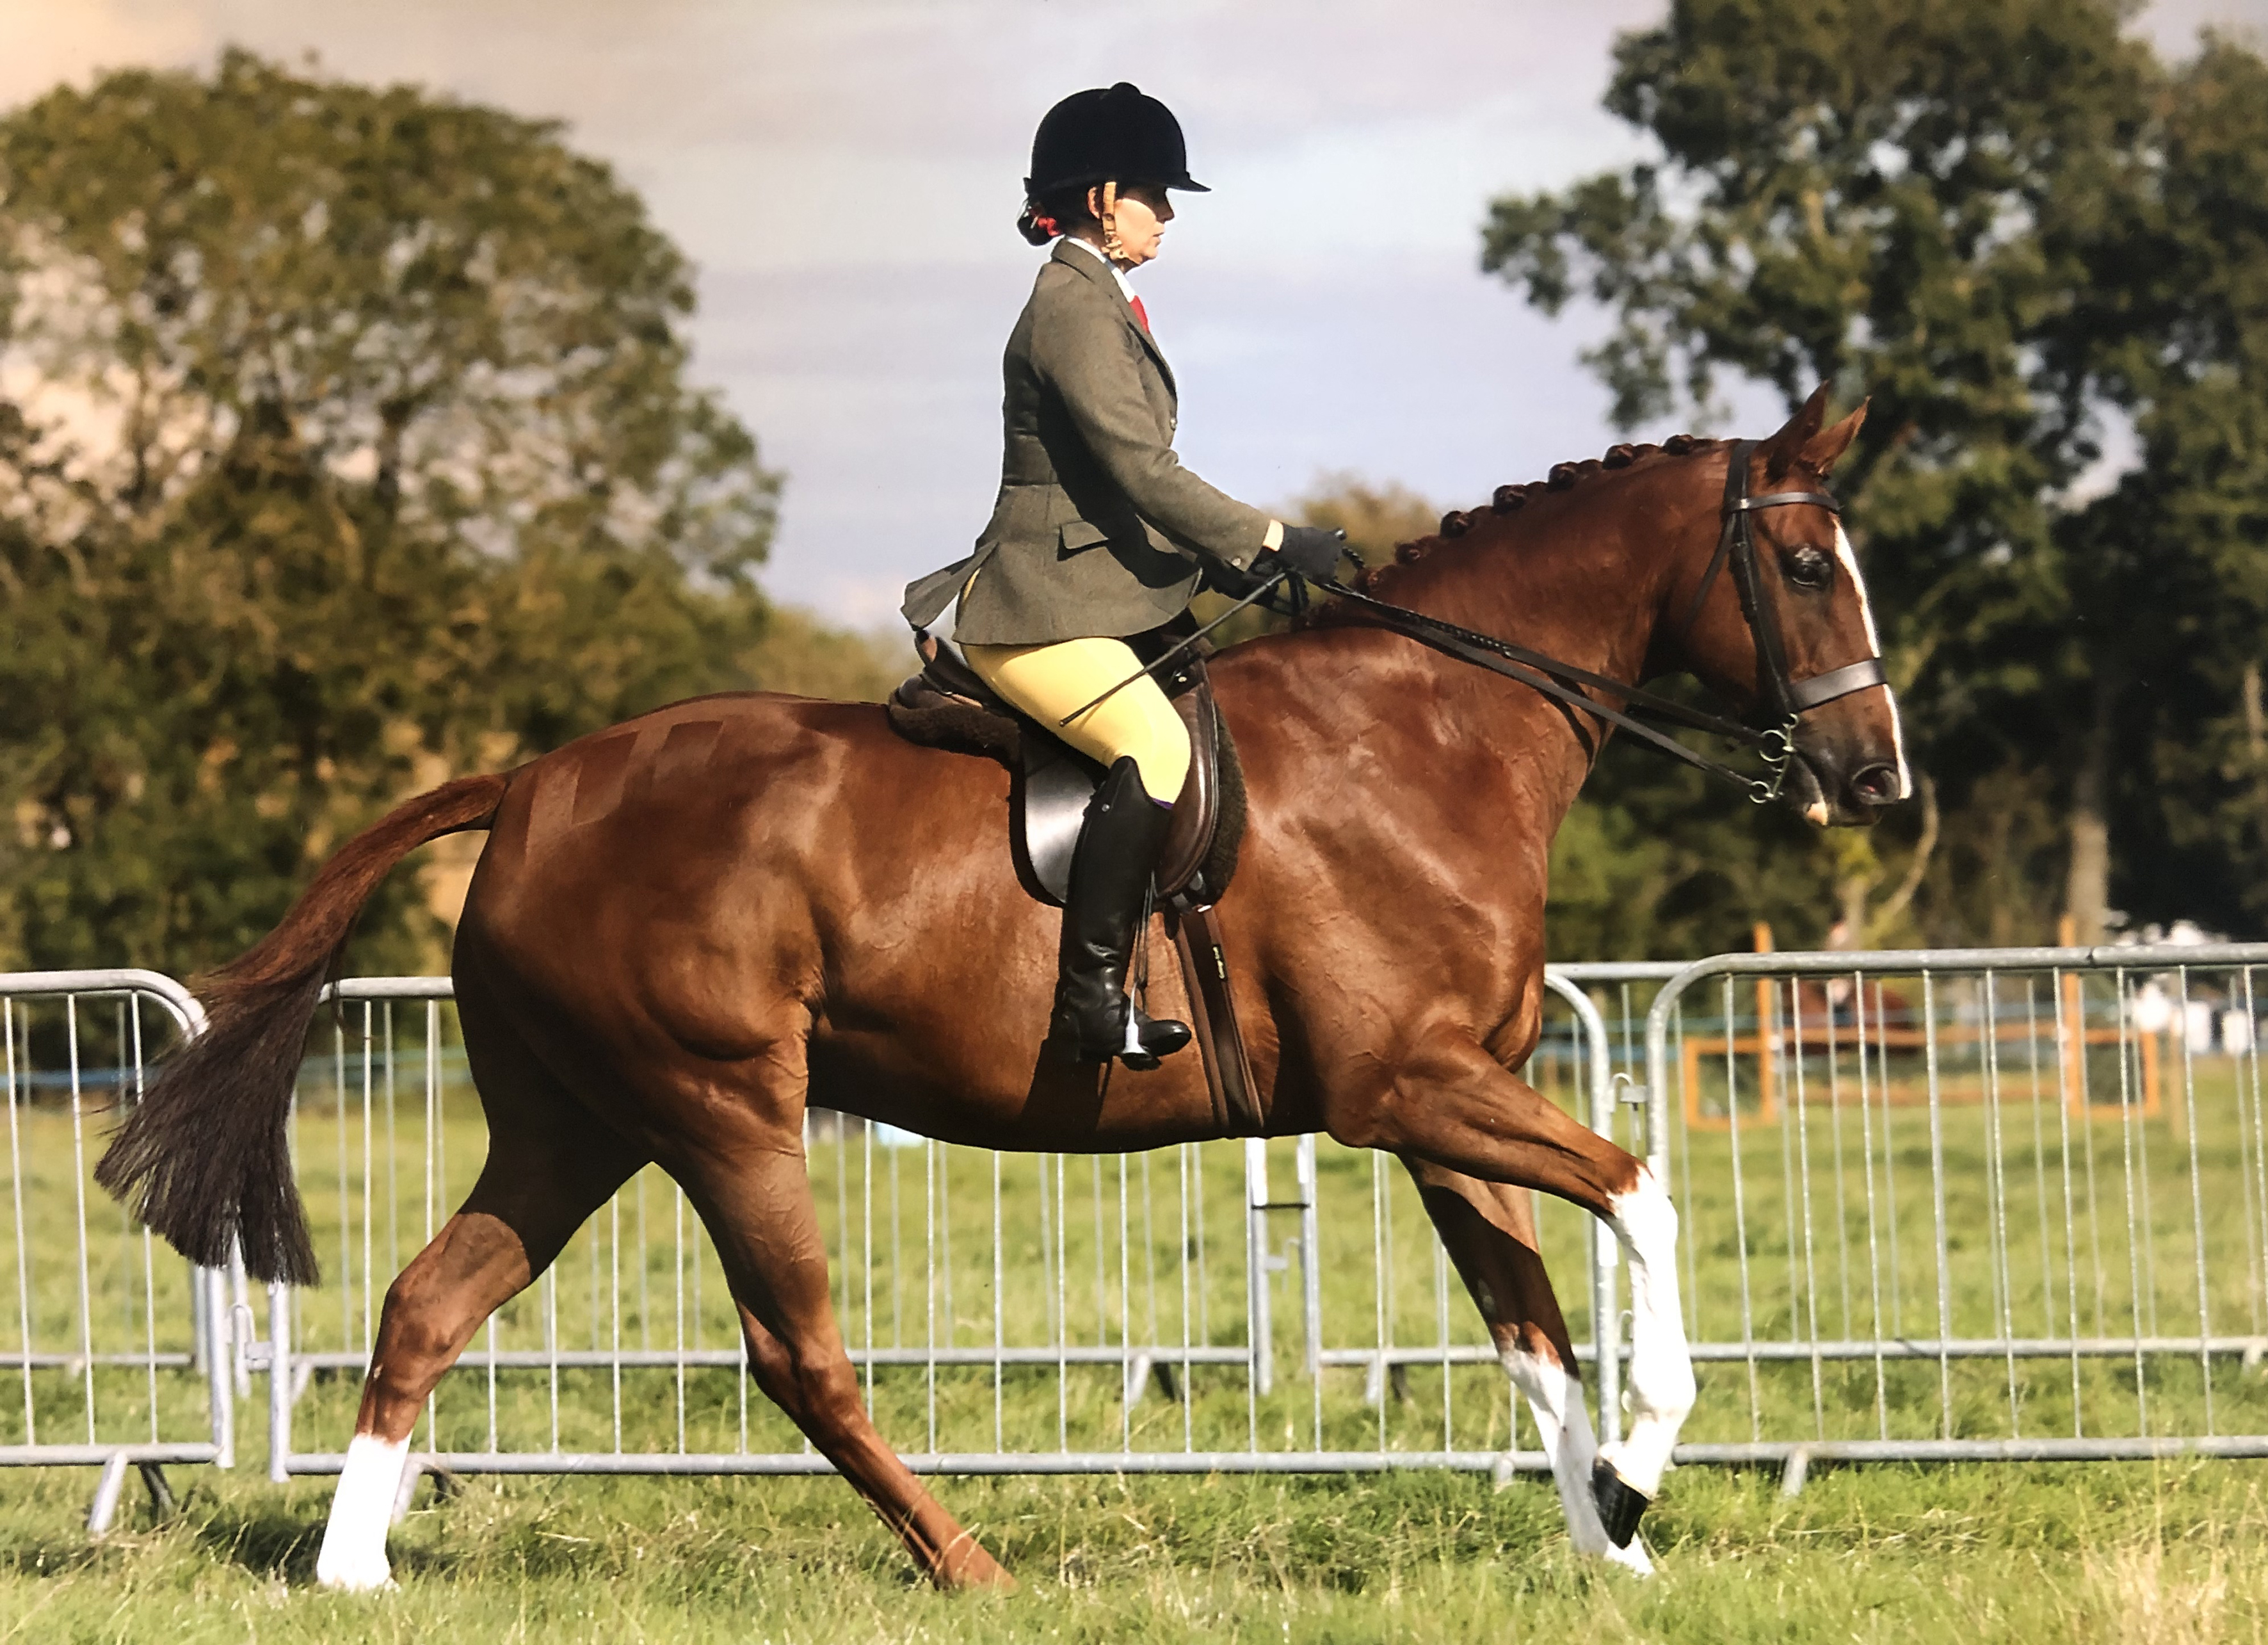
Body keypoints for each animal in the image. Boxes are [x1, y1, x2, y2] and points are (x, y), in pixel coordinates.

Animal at [97, 381, 1905, 1579]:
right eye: (1809, 570)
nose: (1874, 779)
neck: (1433, 729)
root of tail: (534, 783)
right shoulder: (1407, 1086)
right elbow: (1642, 1196)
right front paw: (1652, 1463)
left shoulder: (1446, 1103)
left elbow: (1529, 1323)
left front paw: (1614, 1545)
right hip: (724, 1110)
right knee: (795, 1353)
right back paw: (966, 1564)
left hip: (575, 1123)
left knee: (431, 1299)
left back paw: (354, 1571)